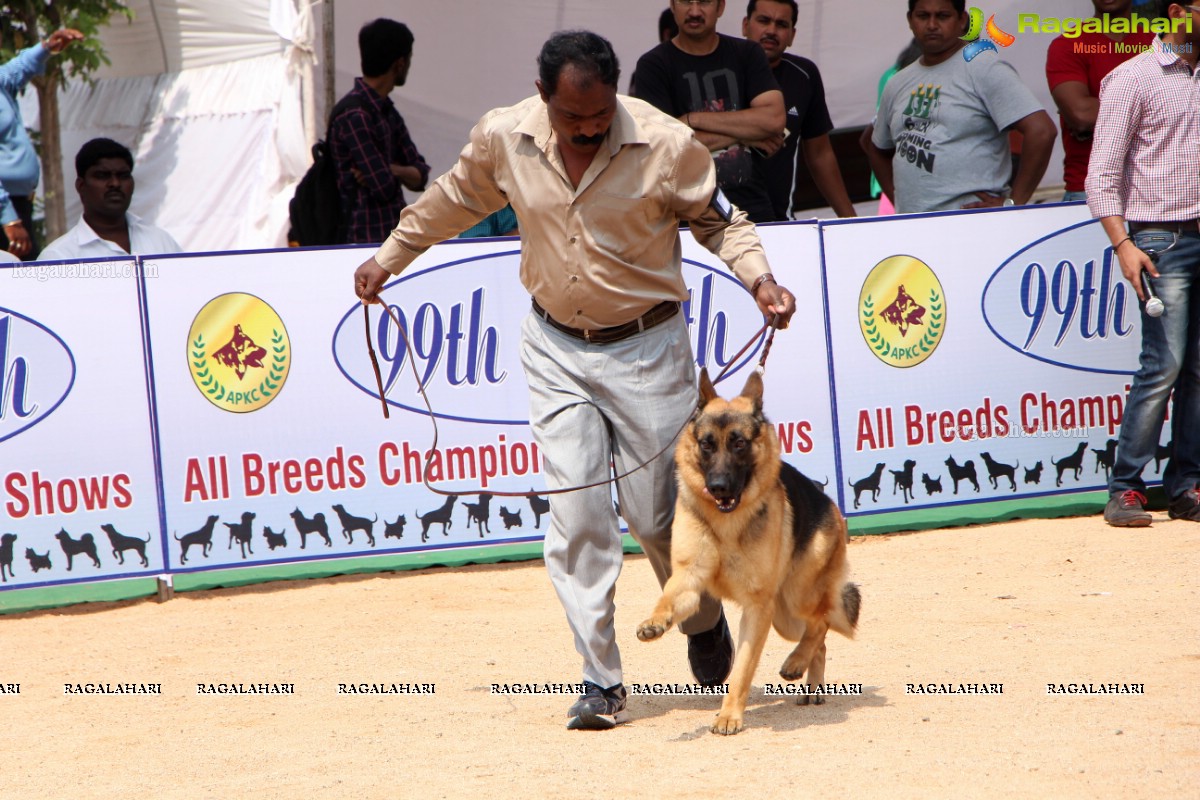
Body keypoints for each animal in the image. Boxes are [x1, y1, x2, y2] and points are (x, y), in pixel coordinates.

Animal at [638, 371, 864, 734]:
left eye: (739, 443)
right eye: (707, 444)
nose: (717, 487)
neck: (726, 523)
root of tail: (827, 500)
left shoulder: (758, 608)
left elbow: (743, 668)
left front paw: (730, 715)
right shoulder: (688, 579)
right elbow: (668, 600)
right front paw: (655, 622)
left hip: (794, 599)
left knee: (822, 621)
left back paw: (796, 662)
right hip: (785, 617)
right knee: (820, 635)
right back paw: (811, 682)